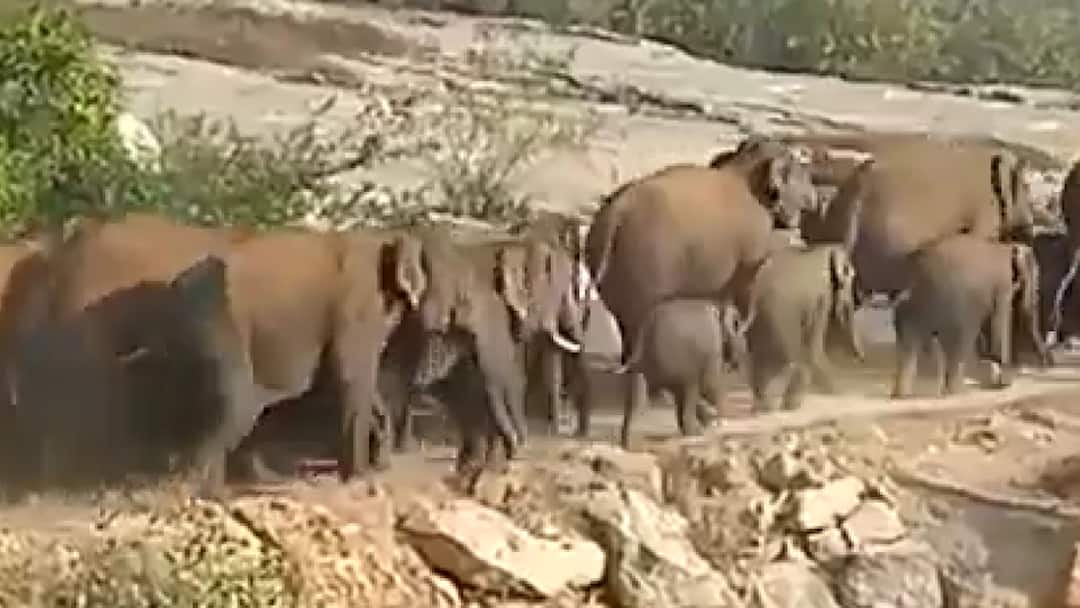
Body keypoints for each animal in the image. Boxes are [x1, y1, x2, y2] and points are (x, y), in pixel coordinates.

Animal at [574, 299, 745, 449]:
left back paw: (631, 445)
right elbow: (710, 384)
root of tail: (643, 337)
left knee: (642, 396)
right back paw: (696, 432)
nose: (735, 364)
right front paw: (722, 420)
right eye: (738, 326)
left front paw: (710, 421)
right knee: (690, 387)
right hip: (675, 360)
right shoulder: (712, 349)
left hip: (649, 366)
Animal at [742, 243, 864, 413]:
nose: (861, 358)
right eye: (850, 280)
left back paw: (762, 407)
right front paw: (838, 392)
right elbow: (813, 346)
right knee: (786, 357)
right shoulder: (822, 297)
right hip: (781, 318)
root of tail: (755, 296)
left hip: (762, 322)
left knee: (759, 357)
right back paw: (777, 406)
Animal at [891, 235, 1043, 398]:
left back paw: (904, 395)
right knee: (961, 340)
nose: (1046, 364)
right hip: (954, 309)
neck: (1008, 245)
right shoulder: (1003, 284)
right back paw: (960, 392)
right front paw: (1004, 383)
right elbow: (998, 322)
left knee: (910, 345)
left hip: (909, 310)